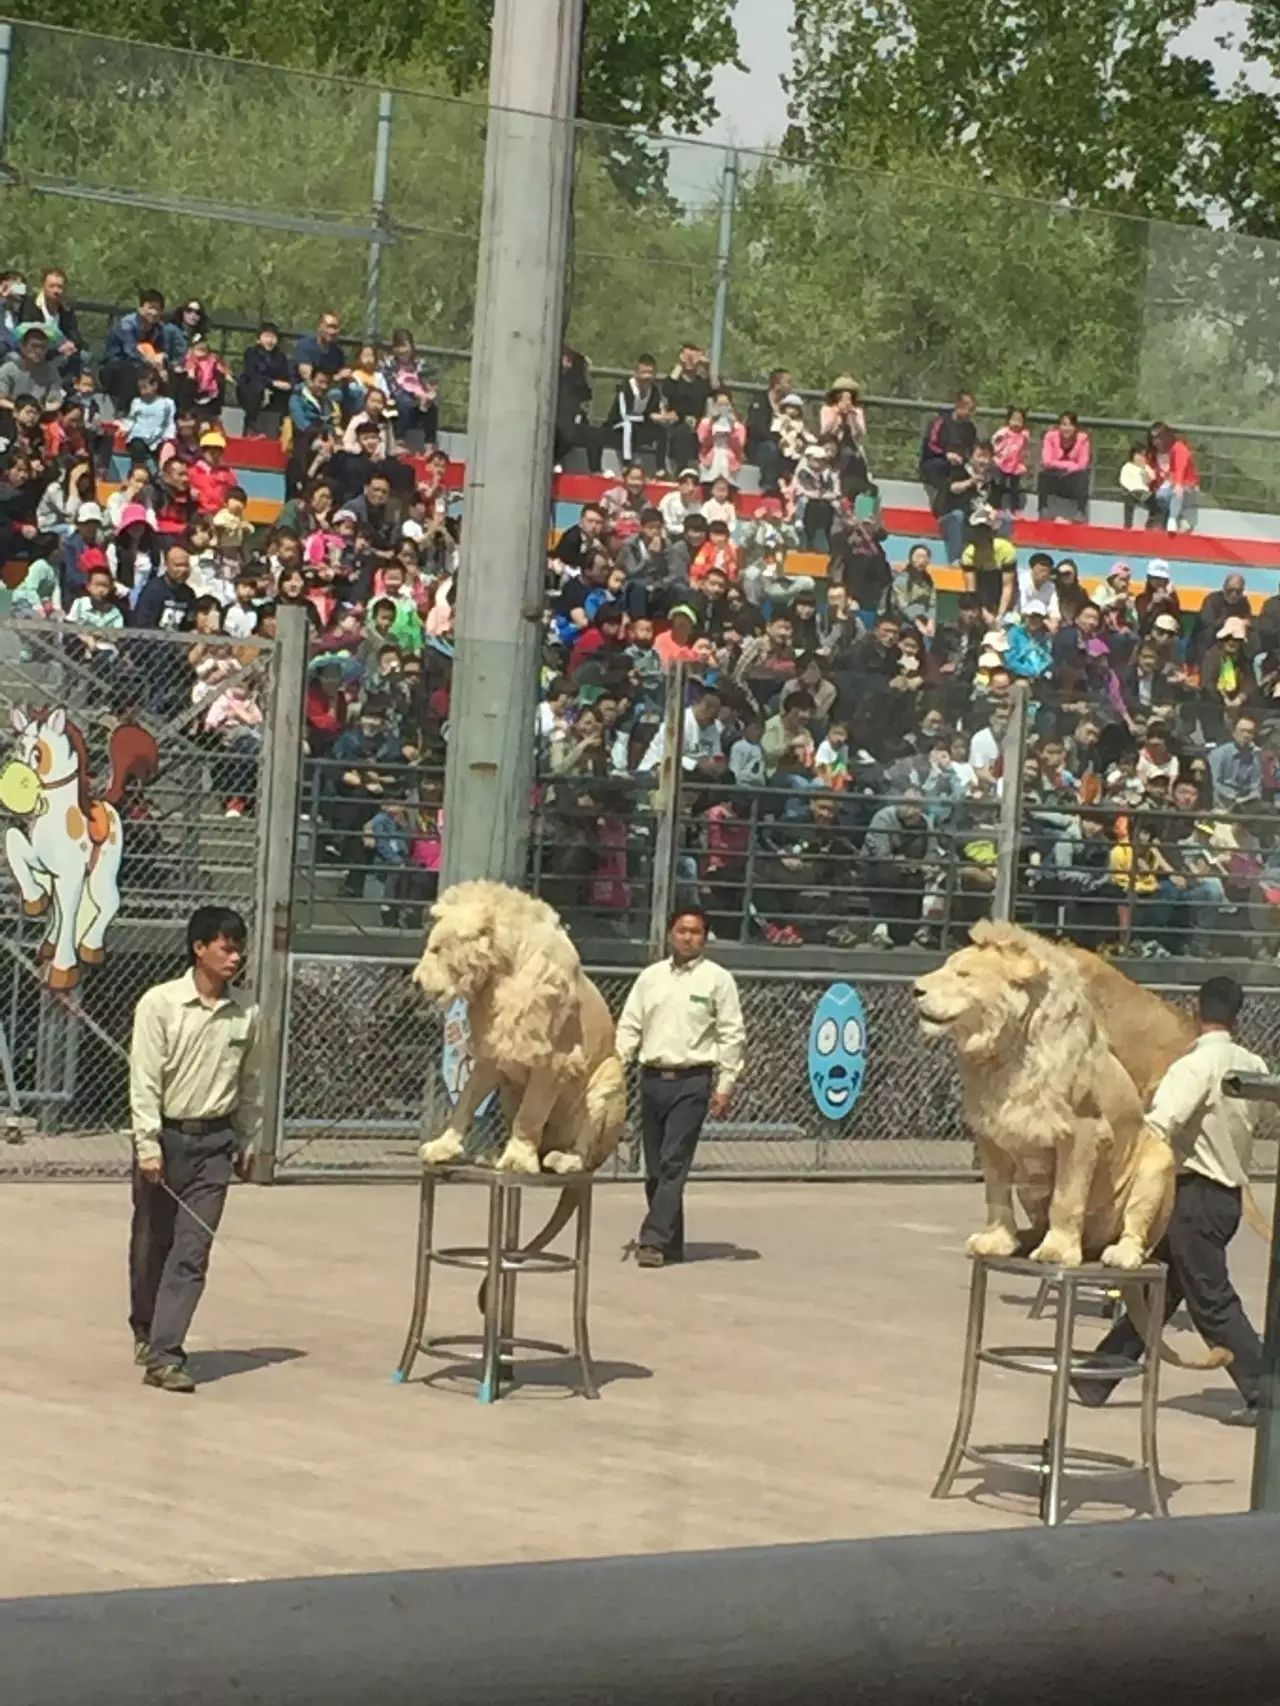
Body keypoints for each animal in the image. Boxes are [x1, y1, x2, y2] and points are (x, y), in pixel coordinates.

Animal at [413, 887, 628, 1221]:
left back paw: (562, 1160)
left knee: (586, 1154)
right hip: (509, 1092)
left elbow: (531, 1114)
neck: (500, 975)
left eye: (436, 949)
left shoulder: (554, 1060)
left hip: (609, 1077)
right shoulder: (491, 1057)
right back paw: (493, 1158)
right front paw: (442, 1147)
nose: (414, 981)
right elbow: (465, 1102)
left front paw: (517, 1160)